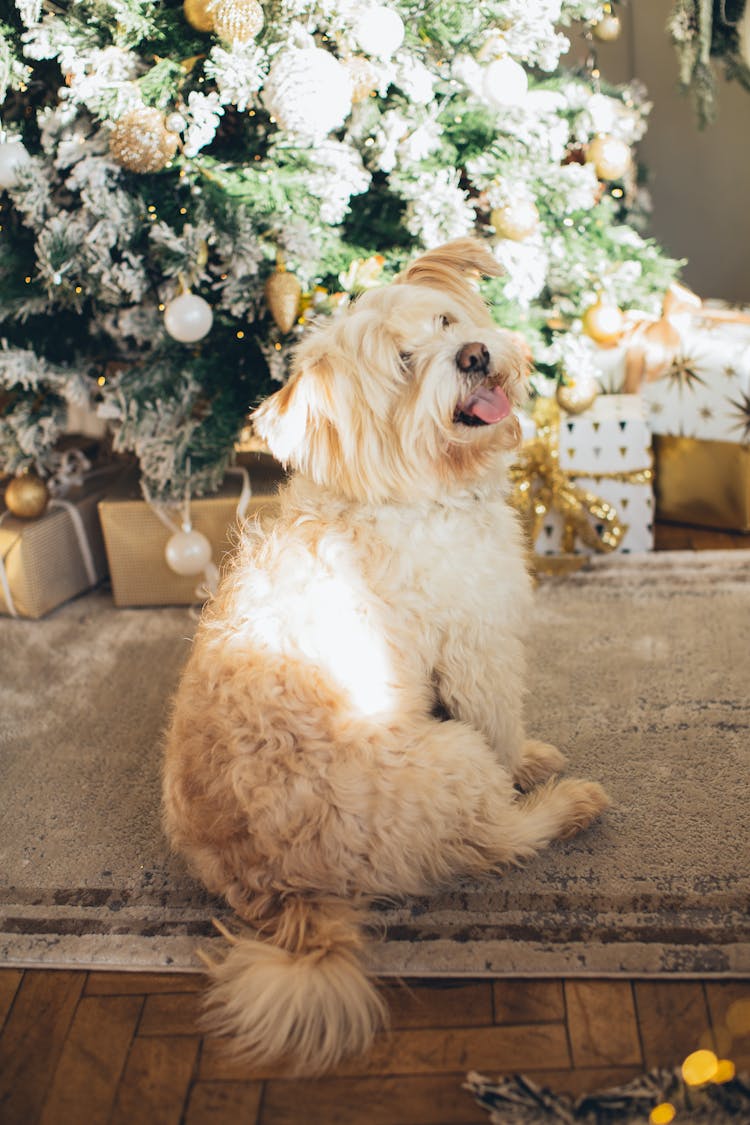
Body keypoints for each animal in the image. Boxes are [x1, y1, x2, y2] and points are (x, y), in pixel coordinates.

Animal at [163, 237, 611, 1071]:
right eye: (405, 364)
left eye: (445, 321)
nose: (474, 355)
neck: (418, 493)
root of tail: (280, 893)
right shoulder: (475, 647)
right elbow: (500, 725)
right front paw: (526, 763)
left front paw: (530, 757)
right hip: (446, 762)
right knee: (494, 839)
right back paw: (564, 806)